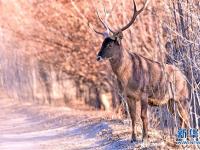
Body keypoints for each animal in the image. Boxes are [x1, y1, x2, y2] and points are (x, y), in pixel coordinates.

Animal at [90, 0, 191, 143]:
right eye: (102, 43)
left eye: (109, 45)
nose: (98, 57)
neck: (128, 75)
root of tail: (184, 76)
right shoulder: (128, 95)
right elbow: (133, 116)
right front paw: (133, 138)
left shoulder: (144, 92)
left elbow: (143, 116)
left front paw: (145, 138)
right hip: (171, 100)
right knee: (180, 117)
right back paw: (180, 139)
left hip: (182, 96)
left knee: (186, 117)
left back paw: (187, 139)